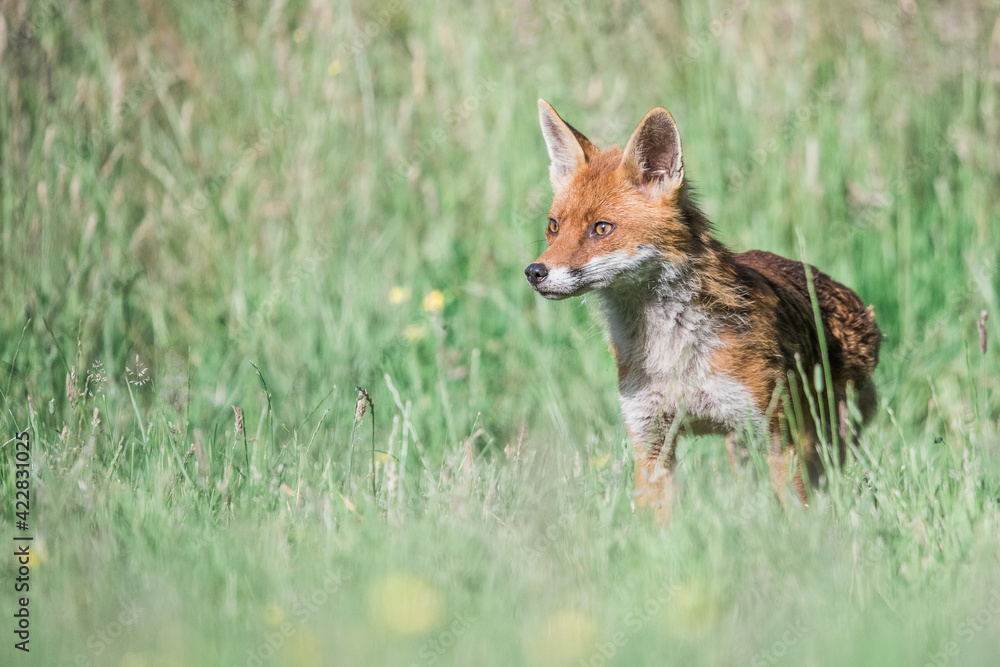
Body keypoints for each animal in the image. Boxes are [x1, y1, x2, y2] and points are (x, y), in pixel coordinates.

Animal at [525, 100, 882, 518]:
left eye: (601, 228)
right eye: (553, 226)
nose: (534, 272)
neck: (673, 355)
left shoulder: (777, 434)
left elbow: (797, 514)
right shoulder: (652, 440)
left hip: (822, 435)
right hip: (743, 446)